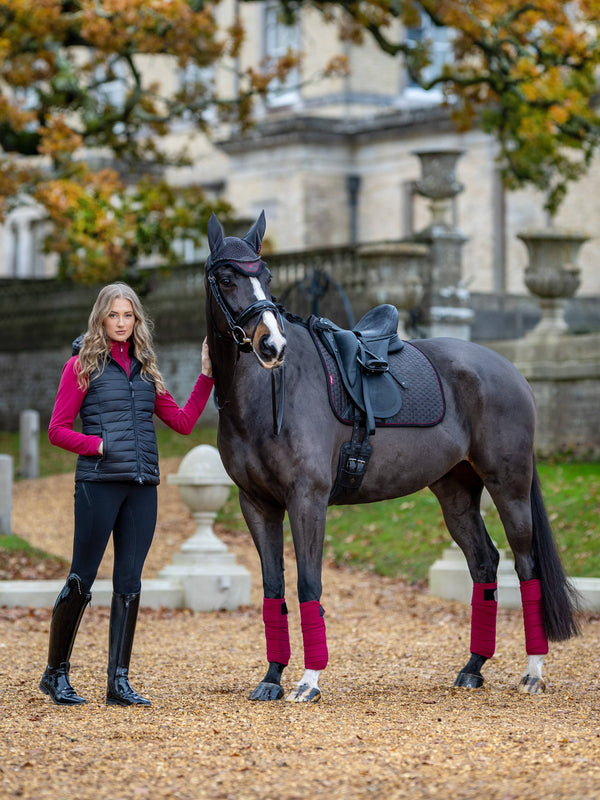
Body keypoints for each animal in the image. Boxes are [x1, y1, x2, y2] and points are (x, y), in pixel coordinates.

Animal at [204, 211, 580, 700]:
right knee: (484, 564)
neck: (264, 396)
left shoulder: (307, 500)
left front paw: (309, 681)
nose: (271, 346)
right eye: (226, 277)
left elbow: (308, 583)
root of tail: (510, 370)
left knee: (525, 564)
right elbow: (275, 588)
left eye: (265, 275)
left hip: (509, 487)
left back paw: (533, 671)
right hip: (456, 494)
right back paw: (473, 667)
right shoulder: (257, 505)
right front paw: (271, 677)